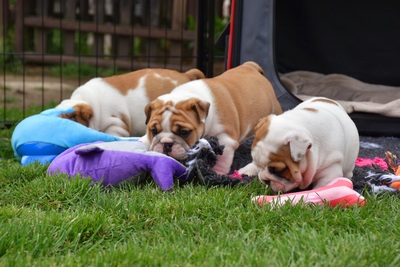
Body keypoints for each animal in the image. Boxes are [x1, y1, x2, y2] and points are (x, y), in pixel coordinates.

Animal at [142, 61, 282, 175]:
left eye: (184, 132)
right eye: (153, 131)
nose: (166, 143)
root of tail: (251, 66)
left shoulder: (226, 140)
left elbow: (222, 159)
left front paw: (217, 173)